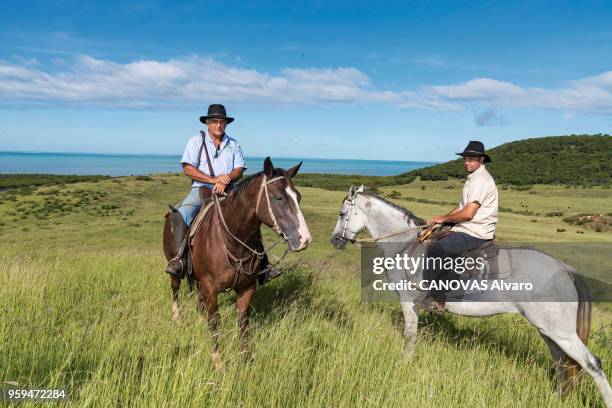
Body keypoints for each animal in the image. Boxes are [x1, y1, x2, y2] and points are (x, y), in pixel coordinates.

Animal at [163, 157, 310, 366]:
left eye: (298, 197)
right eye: (278, 198)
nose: (304, 239)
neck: (233, 240)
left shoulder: (247, 287)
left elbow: (242, 320)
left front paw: (246, 357)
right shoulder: (210, 286)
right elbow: (214, 320)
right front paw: (218, 360)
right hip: (175, 265)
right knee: (175, 288)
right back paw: (177, 317)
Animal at [332, 186, 608, 408]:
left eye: (342, 214)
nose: (336, 241)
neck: (406, 245)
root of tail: (565, 269)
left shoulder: (408, 301)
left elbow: (410, 336)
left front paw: (405, 365)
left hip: (560, 331)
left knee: (592, 364)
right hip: (548, 330)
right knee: (563, 364)